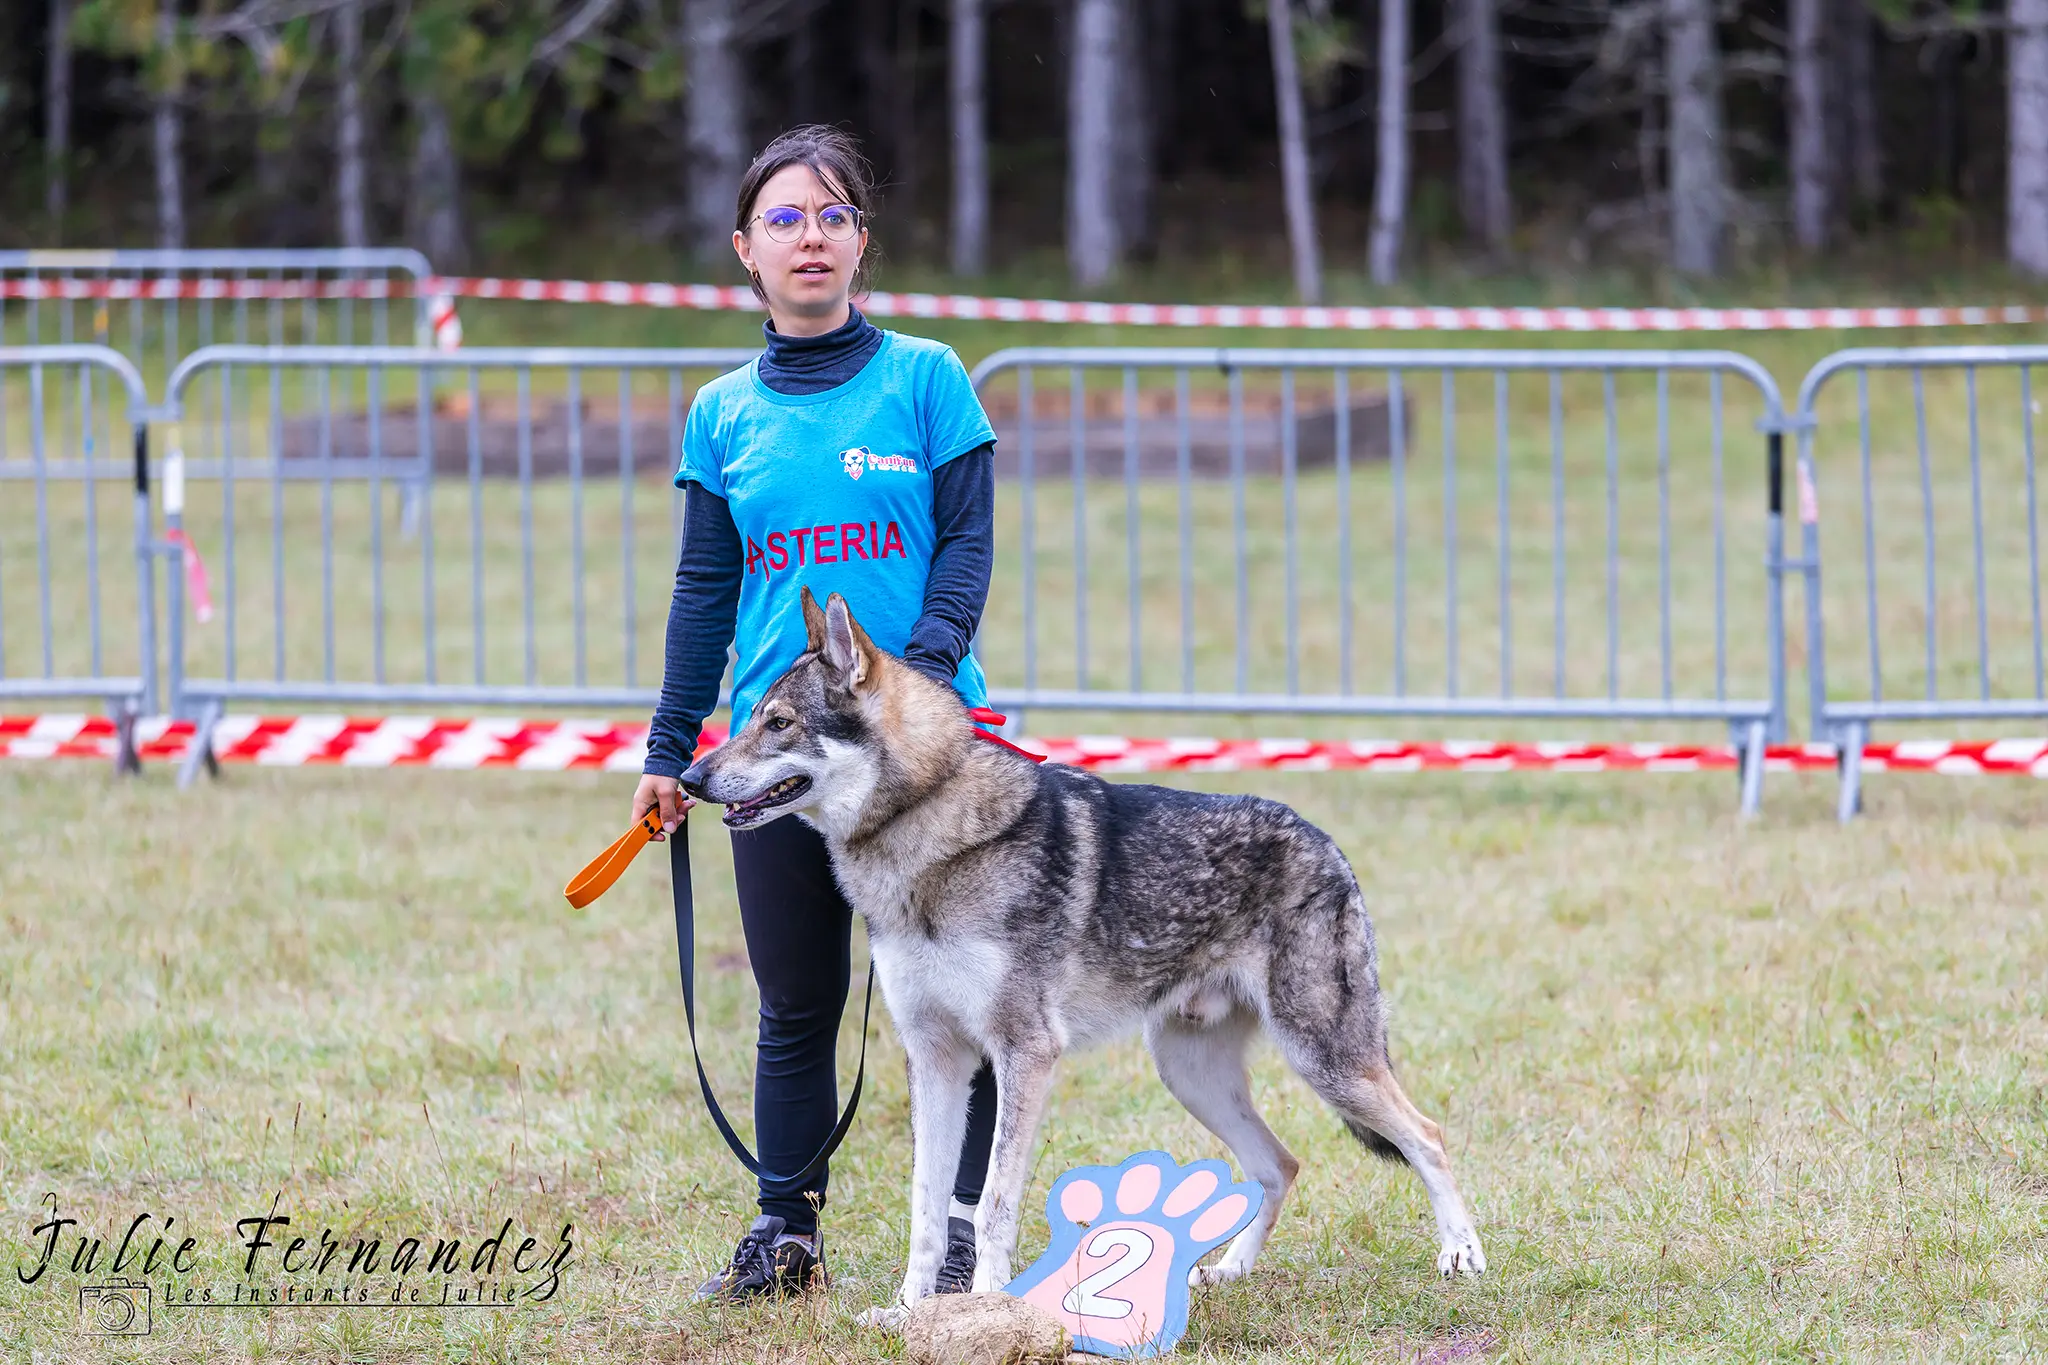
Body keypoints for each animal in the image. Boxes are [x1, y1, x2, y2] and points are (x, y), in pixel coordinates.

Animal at [688, 589, 1490, 1326]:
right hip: (1191, 1073)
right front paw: (908, 1311)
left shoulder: (1023, 1052)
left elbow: (990, 1203)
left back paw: (1460, 1255)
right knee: (1279, 1164)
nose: (691, 780)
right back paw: (1229, 1271)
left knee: (1428, 1136)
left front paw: (987, 1305)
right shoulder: (937, 1057)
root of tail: (1326, 842)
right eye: (750, 715)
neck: (926, 837)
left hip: (1325, 1061)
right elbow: (925, 1205)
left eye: (780, 723)